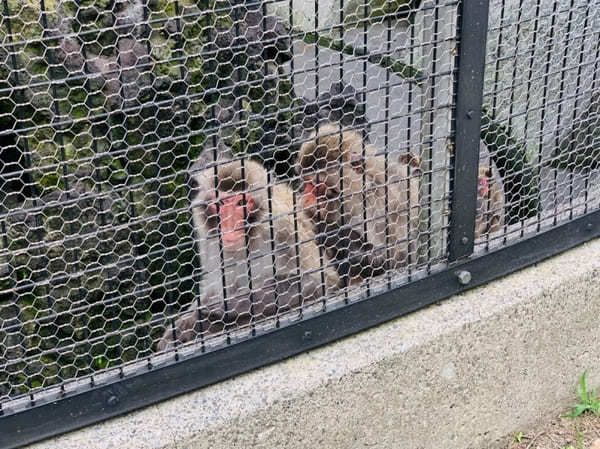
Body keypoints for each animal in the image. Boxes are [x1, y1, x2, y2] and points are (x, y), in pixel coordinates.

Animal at [157, 152, 340, 348]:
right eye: (221, 203)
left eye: (241, 202)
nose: (229, 225)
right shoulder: (208, 241)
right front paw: (183, 325)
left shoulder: (284, 227)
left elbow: (320, 280)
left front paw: (221, 309)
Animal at [296, 122, 422, 284]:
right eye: (306, 183)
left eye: (316, 185)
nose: (306, 196)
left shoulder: (379, 202)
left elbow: (386, 258)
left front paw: (327, 231)